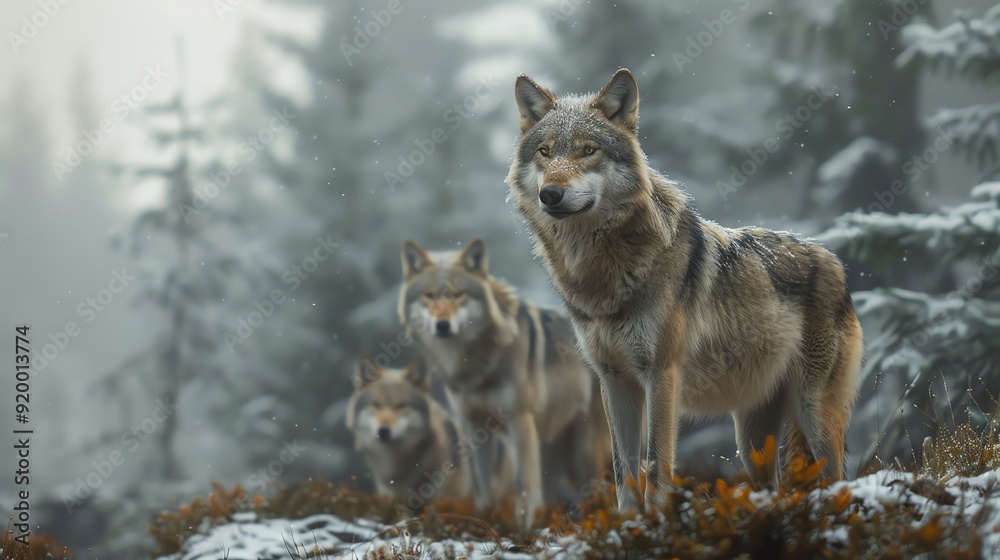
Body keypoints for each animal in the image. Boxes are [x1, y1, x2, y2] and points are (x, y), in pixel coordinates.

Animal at [399, 238, 611, 522]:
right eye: (429, 295)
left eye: (457, 294)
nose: (442, 325)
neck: (476, 365)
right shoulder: (472, 426)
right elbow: (485, 484)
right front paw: (485, 520)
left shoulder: (521, 421)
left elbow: (527, 487)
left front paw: (527, 525)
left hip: (583, 453)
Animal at [505, 68, 864, 512]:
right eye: (545, 151)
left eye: (589, 150)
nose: (550, 194)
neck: (603, 275)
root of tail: (834, 261)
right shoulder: (614, 381)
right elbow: (625, 473)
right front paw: (627, 525)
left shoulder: (661, 374)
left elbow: (657, 469)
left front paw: (657, 522)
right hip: (751, 440)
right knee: (775, 486)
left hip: (814, 414)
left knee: (839, 479)